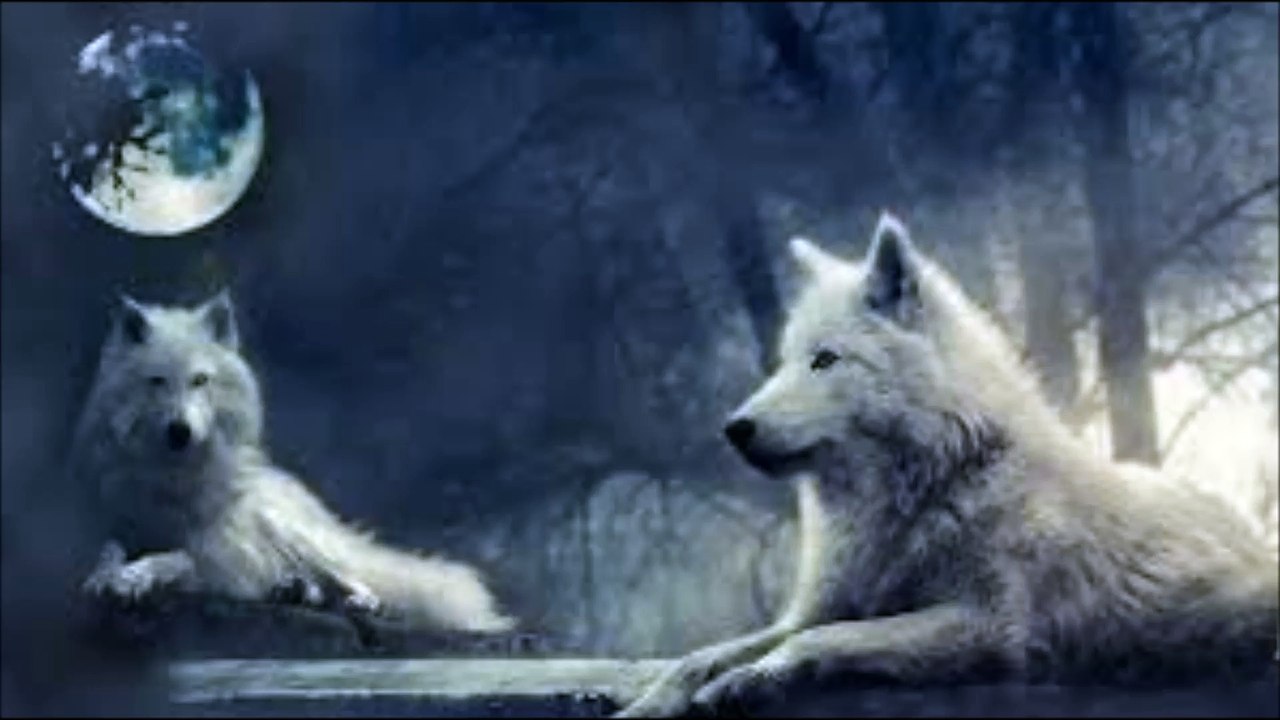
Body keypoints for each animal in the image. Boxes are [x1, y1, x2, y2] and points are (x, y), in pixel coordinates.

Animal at [71, 291, 515, 636]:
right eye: (156, 381)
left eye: (200, 380)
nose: (179, 431)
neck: (173, 476)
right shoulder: (126, 527)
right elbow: (110, 550)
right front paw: (104, 575)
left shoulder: (219, 559)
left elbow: (175, 557)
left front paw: (133, 577)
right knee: (311, 585)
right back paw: (293, 589)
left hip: (295, 535)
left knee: (355, 580)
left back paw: (357, 602)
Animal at [618, 212, 1279, 717]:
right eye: (784, 362)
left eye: (825, 359)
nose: (735, 428)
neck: (937, 480)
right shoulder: (826, 602)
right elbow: (700, 656)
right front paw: (652, 703)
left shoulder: (987, 627)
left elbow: (819, 639)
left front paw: (746, 681)